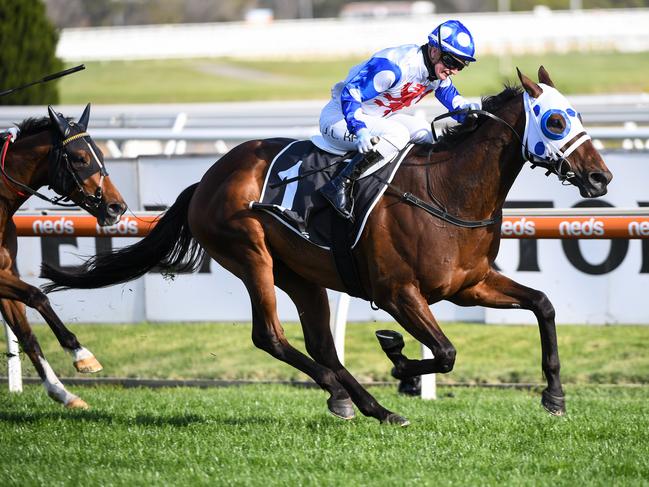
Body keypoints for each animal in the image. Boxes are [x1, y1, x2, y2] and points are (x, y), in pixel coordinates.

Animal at [43, 66, 612, 426]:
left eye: (579, 115)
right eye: (555, 120)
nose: (600, 177)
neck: (444, 190)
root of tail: (207, 177)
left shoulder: (468, 284)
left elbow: (542, 305)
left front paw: (554, 396)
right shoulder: (397, 292)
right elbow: (446, 352)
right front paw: (399, 361)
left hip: (302, 275)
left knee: (321, 344)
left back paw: (366, 405)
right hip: (251, 256)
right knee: (271, 337)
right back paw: (354, 398)